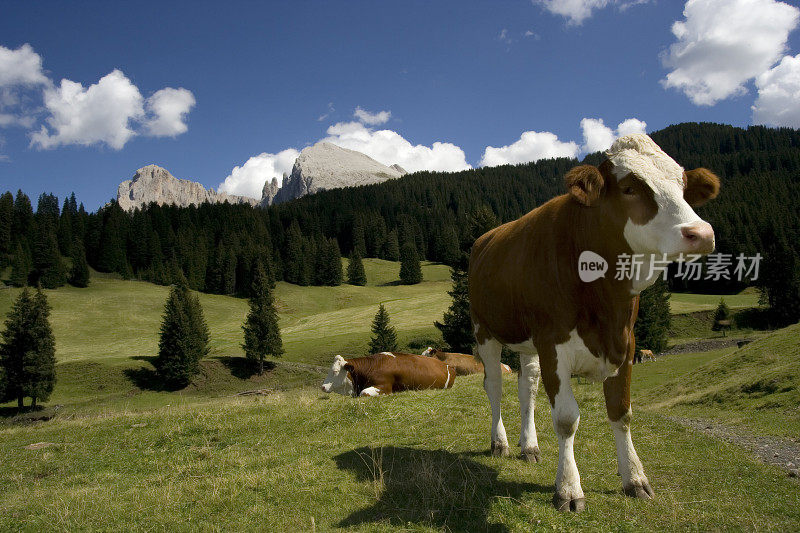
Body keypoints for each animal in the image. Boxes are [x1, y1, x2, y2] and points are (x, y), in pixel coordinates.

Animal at [466, 131, 720, 510]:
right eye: (629, 188)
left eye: (683, 185)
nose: (700, 233)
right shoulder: (553, 343)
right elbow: (566, 419)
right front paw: (569, 488)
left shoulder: (625, 341)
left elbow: (621, 411)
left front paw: (635, 478)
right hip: (486, 331)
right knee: (494, 384)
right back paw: (501, 442)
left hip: (528, 342)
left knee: (527, 386)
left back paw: (530, 446)